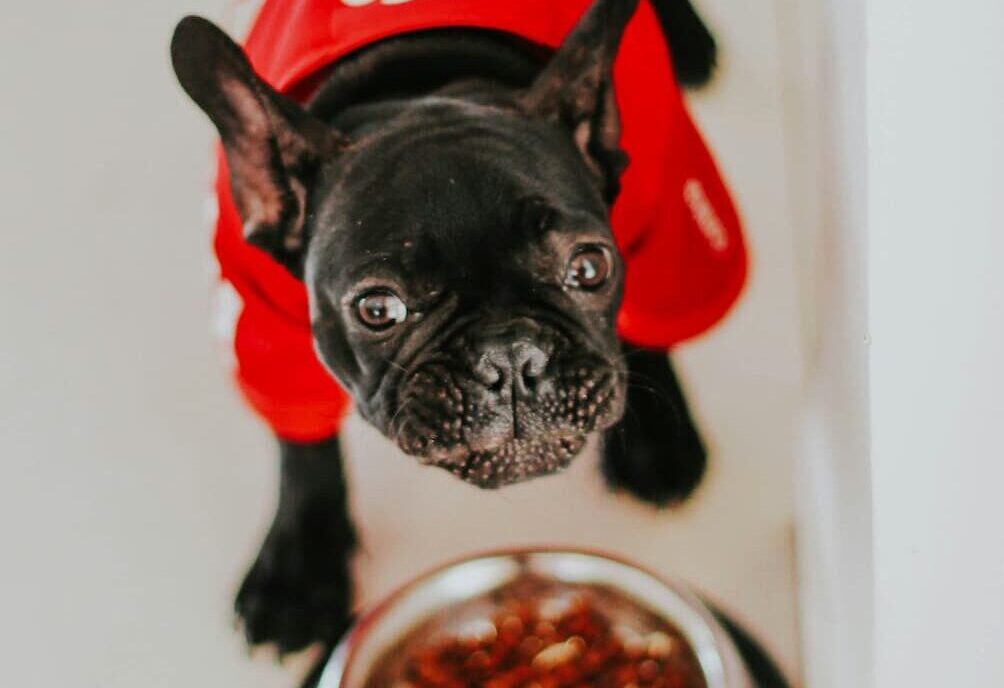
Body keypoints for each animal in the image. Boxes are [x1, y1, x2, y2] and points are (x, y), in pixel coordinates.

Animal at [168, 0, 742, 666]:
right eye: (377, 308)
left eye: (590, 267)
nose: (512, 357)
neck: (421, 86)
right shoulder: (260, 320)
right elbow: (303, 446)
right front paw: (299, 569)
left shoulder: (670, 219)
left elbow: (655, 323)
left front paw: (660, 437)